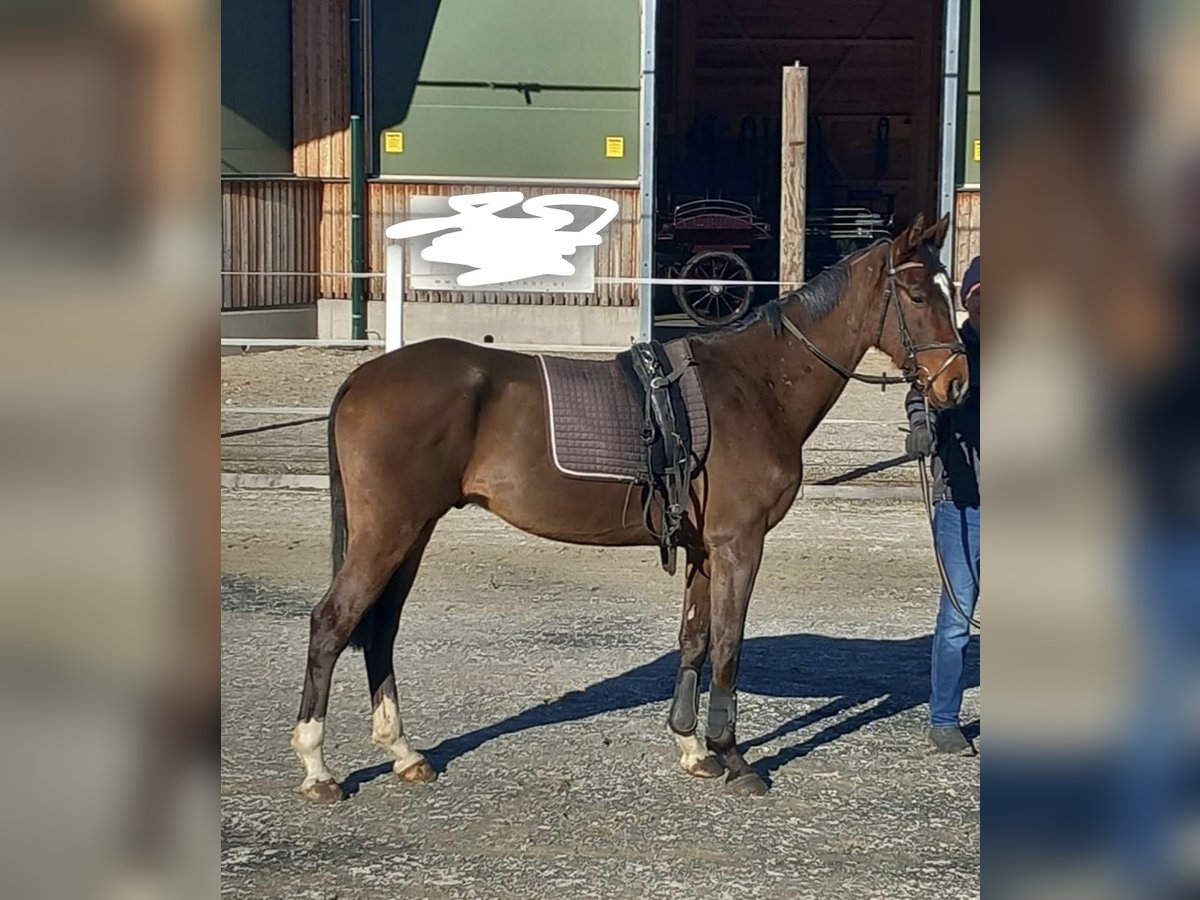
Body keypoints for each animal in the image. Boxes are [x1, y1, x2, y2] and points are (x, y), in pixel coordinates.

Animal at [291, 212, 969, 801]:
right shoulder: (739, 545)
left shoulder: (703, 549)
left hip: (413, 531)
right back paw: (318, 767)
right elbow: (728, 645)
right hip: (388, 532)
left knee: (380, 629)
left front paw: (693, 749)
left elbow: (695, 639)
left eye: (951, 290)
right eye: (915, 293)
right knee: (333, 623)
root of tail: (365, 377)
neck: (755, 385)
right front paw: (735, 757)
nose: (955, 383)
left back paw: (403, 753)